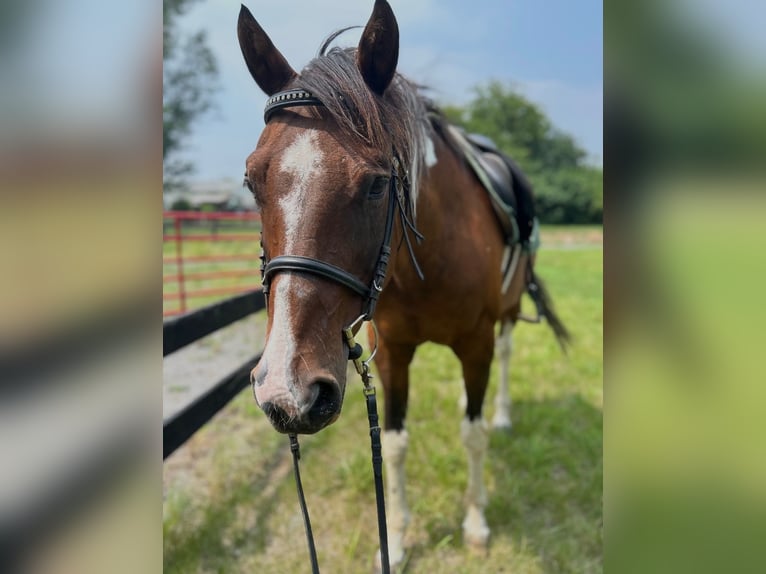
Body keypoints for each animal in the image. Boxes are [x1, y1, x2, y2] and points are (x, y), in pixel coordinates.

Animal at [237, 1, 569, 568]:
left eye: (376, 184)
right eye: (252, 181)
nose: (287, 392)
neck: (425, 265)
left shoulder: (476, 344)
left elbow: (474, 434)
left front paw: (475, 523)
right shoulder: (390, 352)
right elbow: (392, 443)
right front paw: (396, 538)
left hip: (504, 317)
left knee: (504, 359)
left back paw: (502, 414)